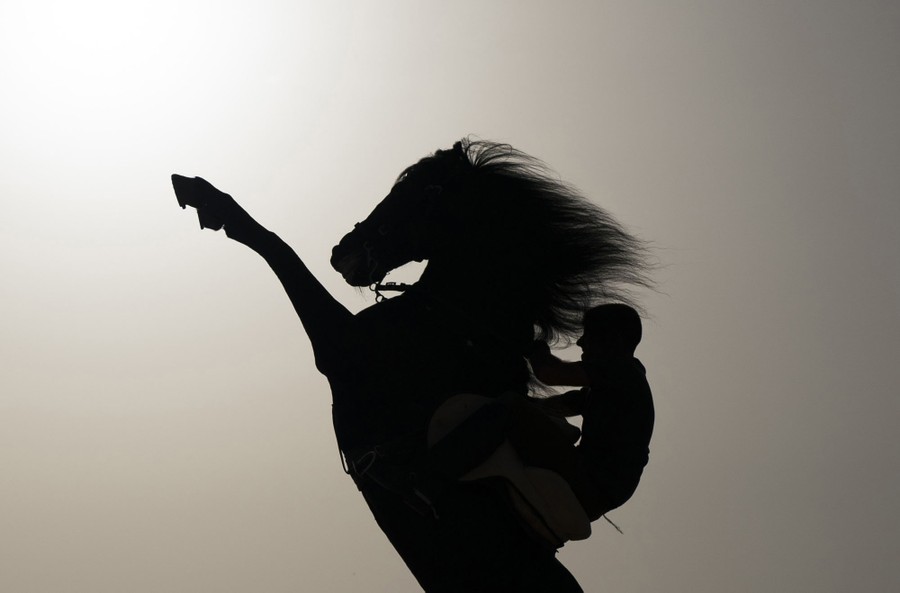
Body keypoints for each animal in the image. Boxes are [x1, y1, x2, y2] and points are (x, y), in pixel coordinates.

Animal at [172, 138, 652, 592]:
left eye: (423, 191)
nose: (342, 251)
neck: (450, 320)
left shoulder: (339, 348)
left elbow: (276, 247)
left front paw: (207, 198)